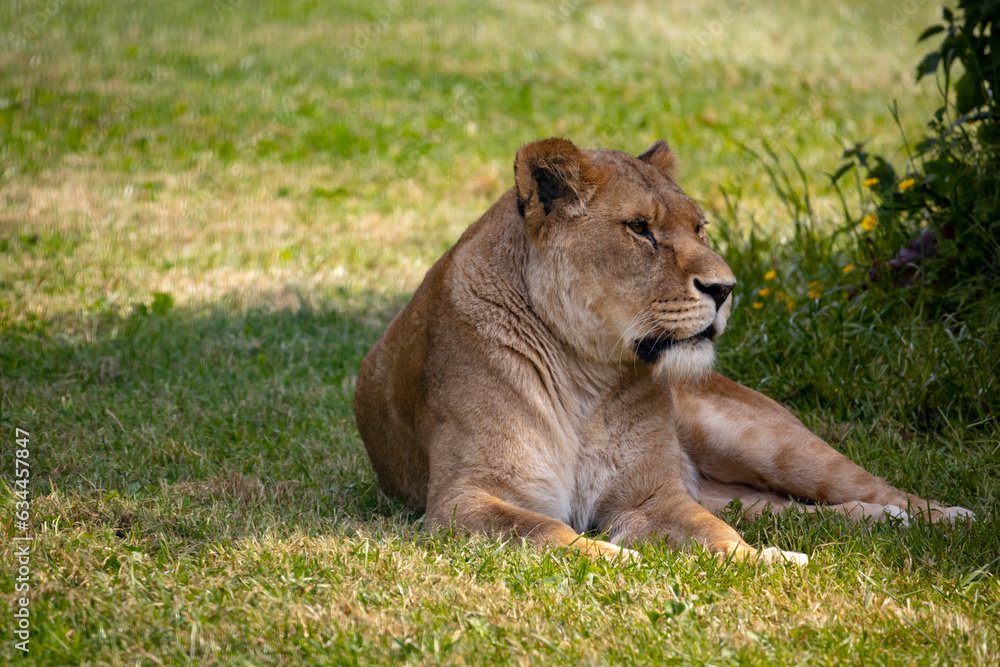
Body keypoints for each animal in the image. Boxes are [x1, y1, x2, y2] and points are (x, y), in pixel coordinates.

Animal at [353, 138, 973, 565]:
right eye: (639, 229)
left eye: (700, 228)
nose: (726, 288)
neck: (586, 378)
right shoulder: (464, 499)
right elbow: (546, 531)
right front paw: (617, 560)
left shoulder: (653, 495)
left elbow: (716, 536)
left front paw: (761, 563)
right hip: (730, 487)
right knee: (784, 509)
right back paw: (882, 521)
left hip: (765, 441)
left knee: (861, 486)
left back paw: (937, 517)